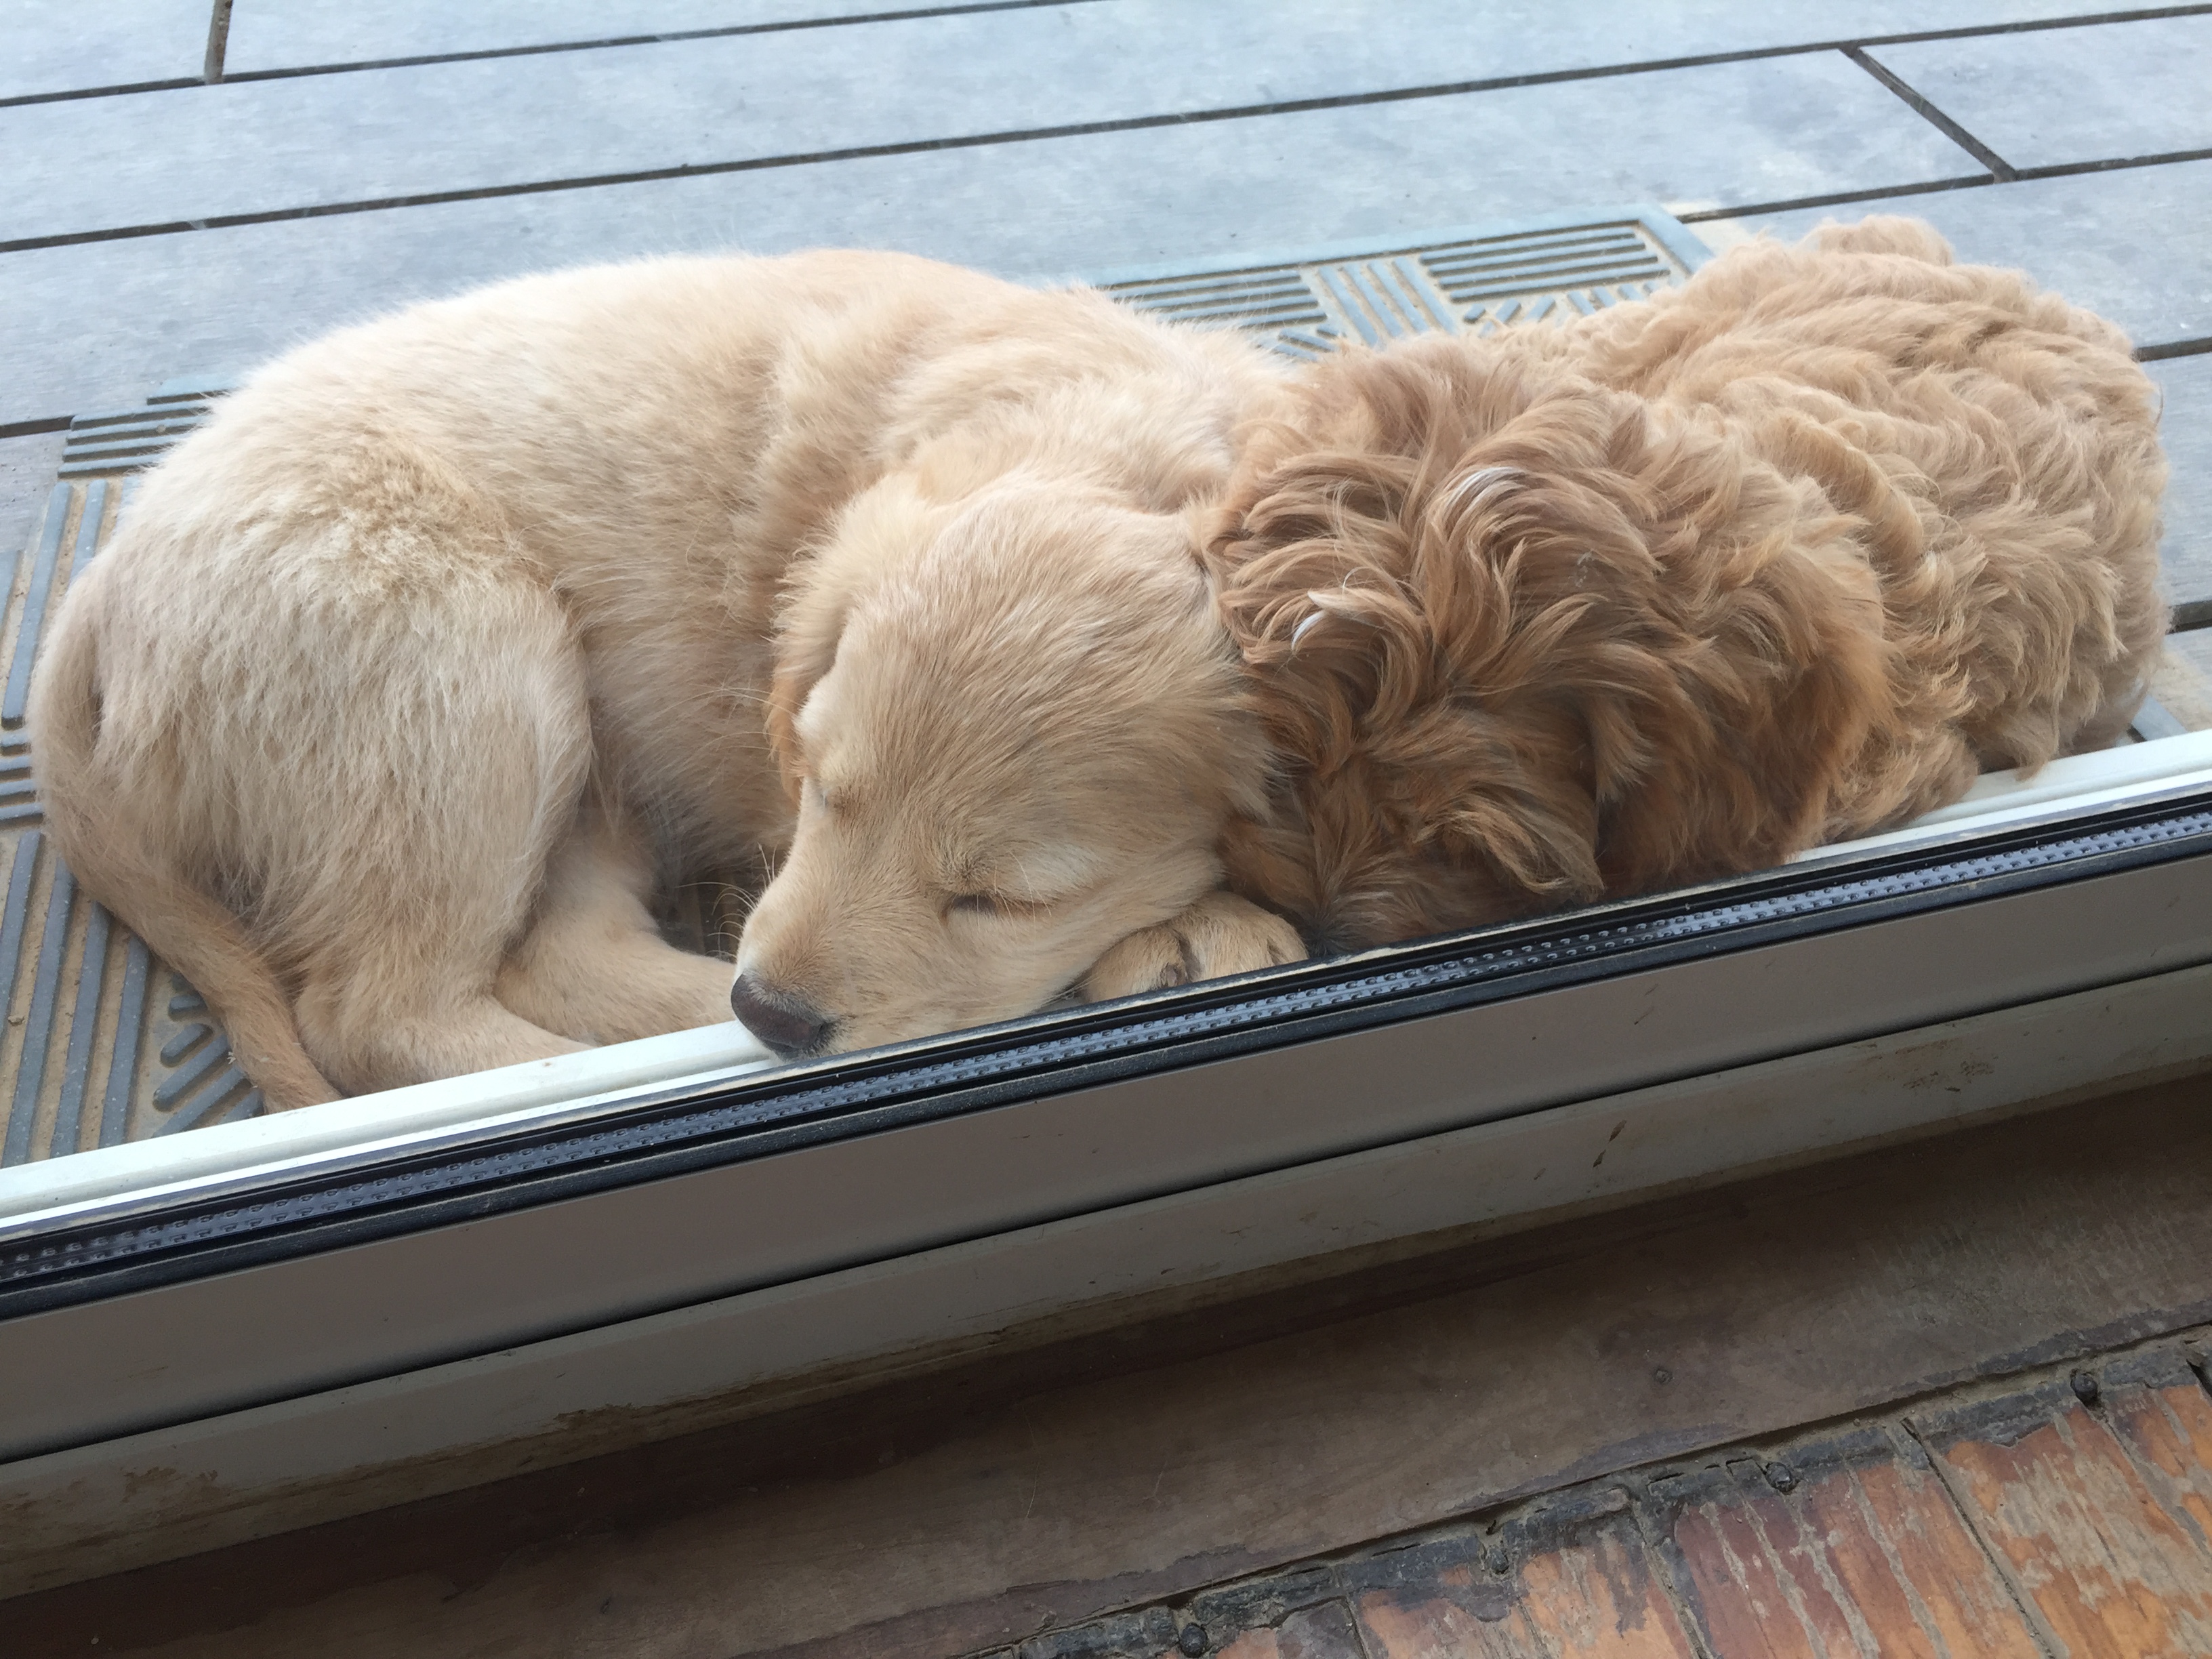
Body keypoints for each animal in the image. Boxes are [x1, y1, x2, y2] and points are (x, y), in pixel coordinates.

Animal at [30, 219, 2166, 1110]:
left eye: (996, 890)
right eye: (820, 787)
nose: (785, 1013)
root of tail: (102, 593)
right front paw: (1187, 930)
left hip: (529, 730)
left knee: (520, 953)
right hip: (454, 662)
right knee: (391, 1000)